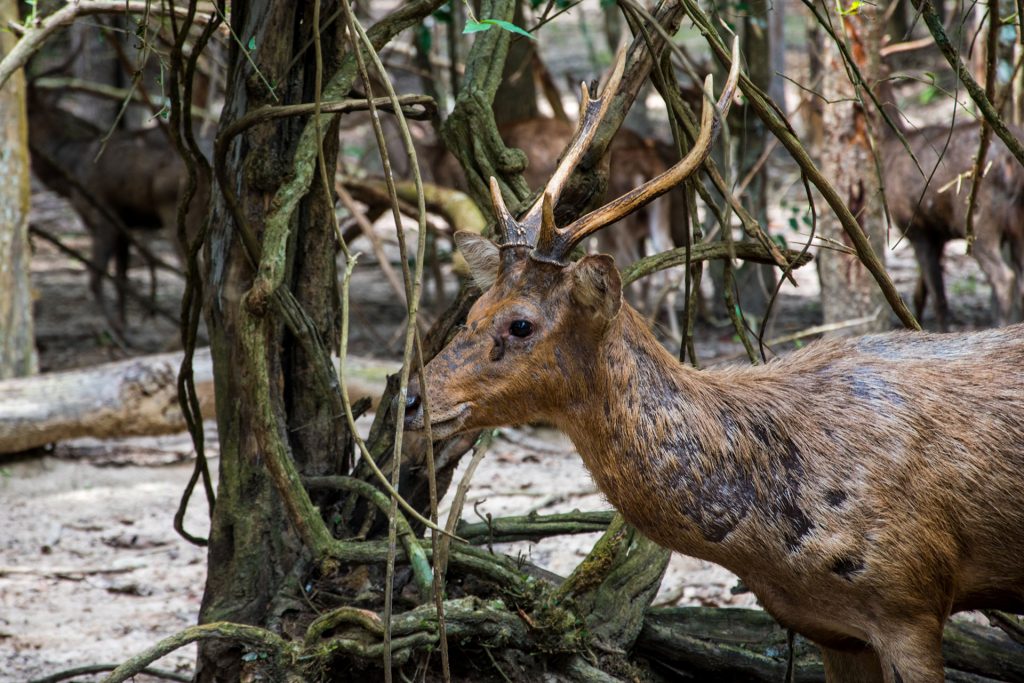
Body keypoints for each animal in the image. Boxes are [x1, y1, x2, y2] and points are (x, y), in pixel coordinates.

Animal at [403, 45, 1024, 679]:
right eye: (474, 309)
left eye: (521, 323)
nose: (409, 396)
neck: (773, 546)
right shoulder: (834, 629)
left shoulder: (910, 599)